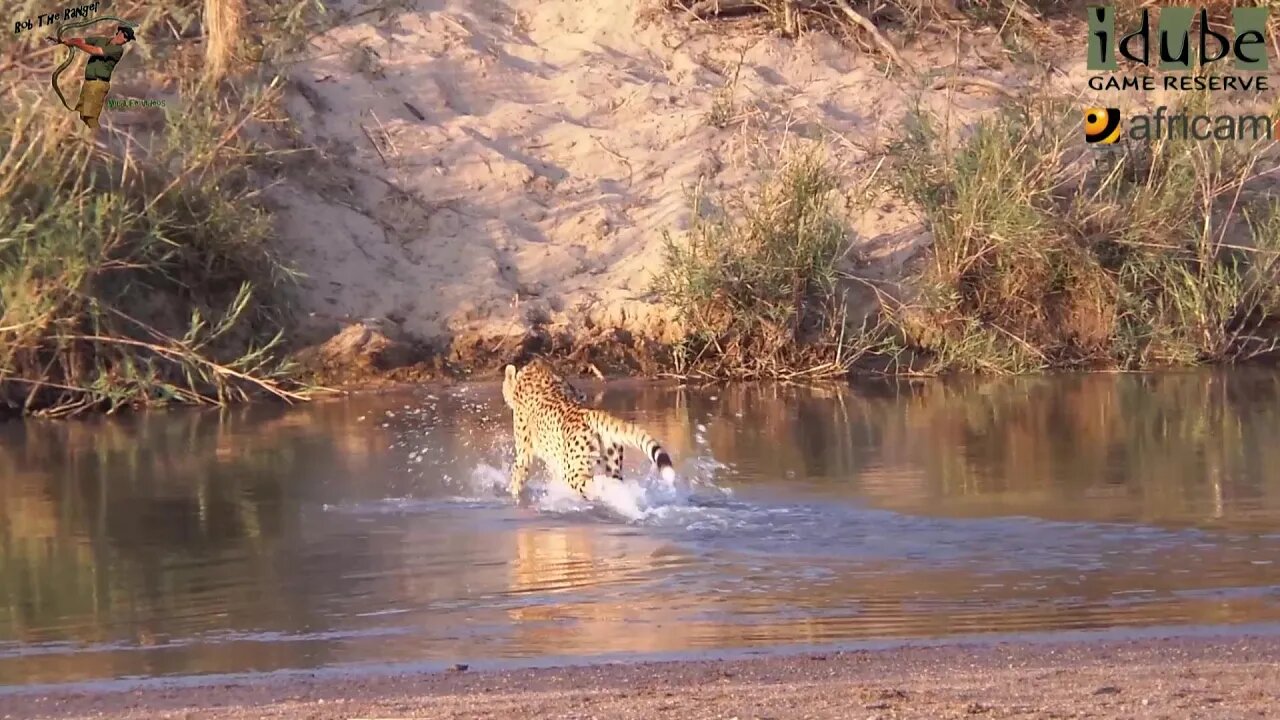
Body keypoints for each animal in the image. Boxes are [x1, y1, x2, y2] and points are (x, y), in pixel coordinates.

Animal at [501, 356, 680, 502]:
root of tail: (589, 412)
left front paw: (512, 494)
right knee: (613, 482)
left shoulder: (525, 452)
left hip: (573, 470)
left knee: (590, 483)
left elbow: (518, 475)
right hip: (611, 464)